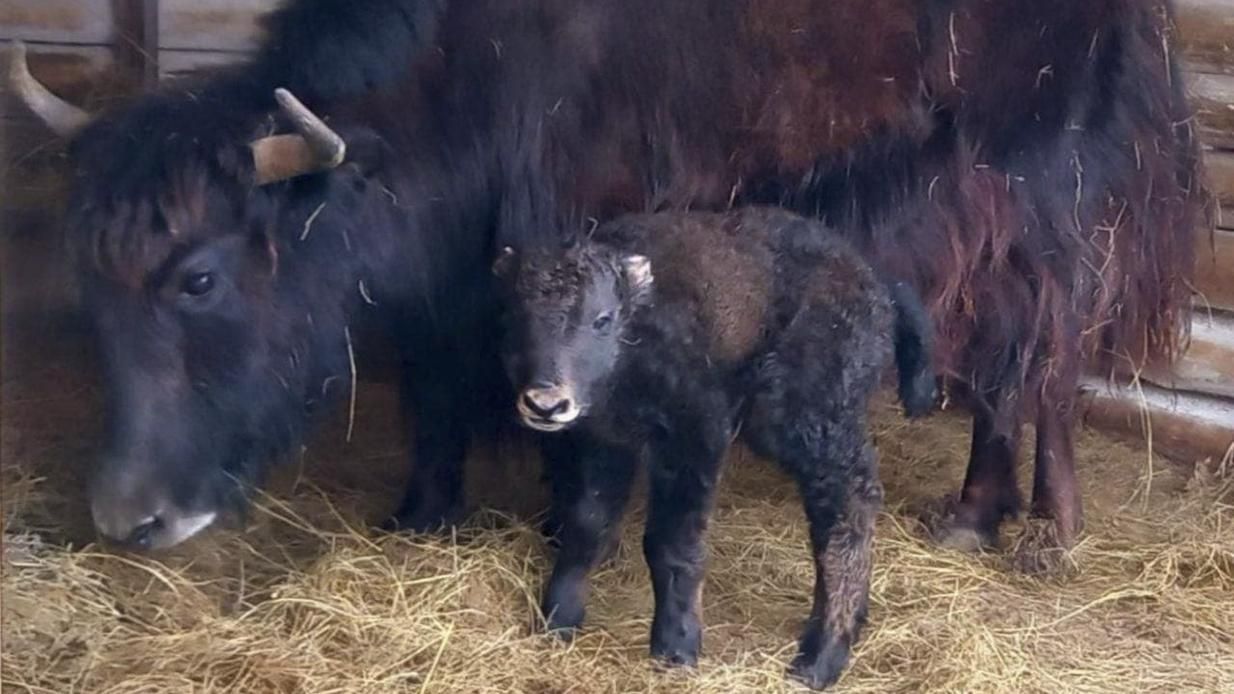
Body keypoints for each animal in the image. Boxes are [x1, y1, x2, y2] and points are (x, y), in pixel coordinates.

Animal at [491, 204, 932, 686]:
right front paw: (558, 618)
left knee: (847, 507)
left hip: (810, 420)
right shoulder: (608, 443)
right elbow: (588, 523)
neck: (642, 325)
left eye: (602, 319)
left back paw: (820, 658)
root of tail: (874, 282)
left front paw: (676, 646)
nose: (545, 403)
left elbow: (672, 542)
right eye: (516, 318)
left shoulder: (695, 437)